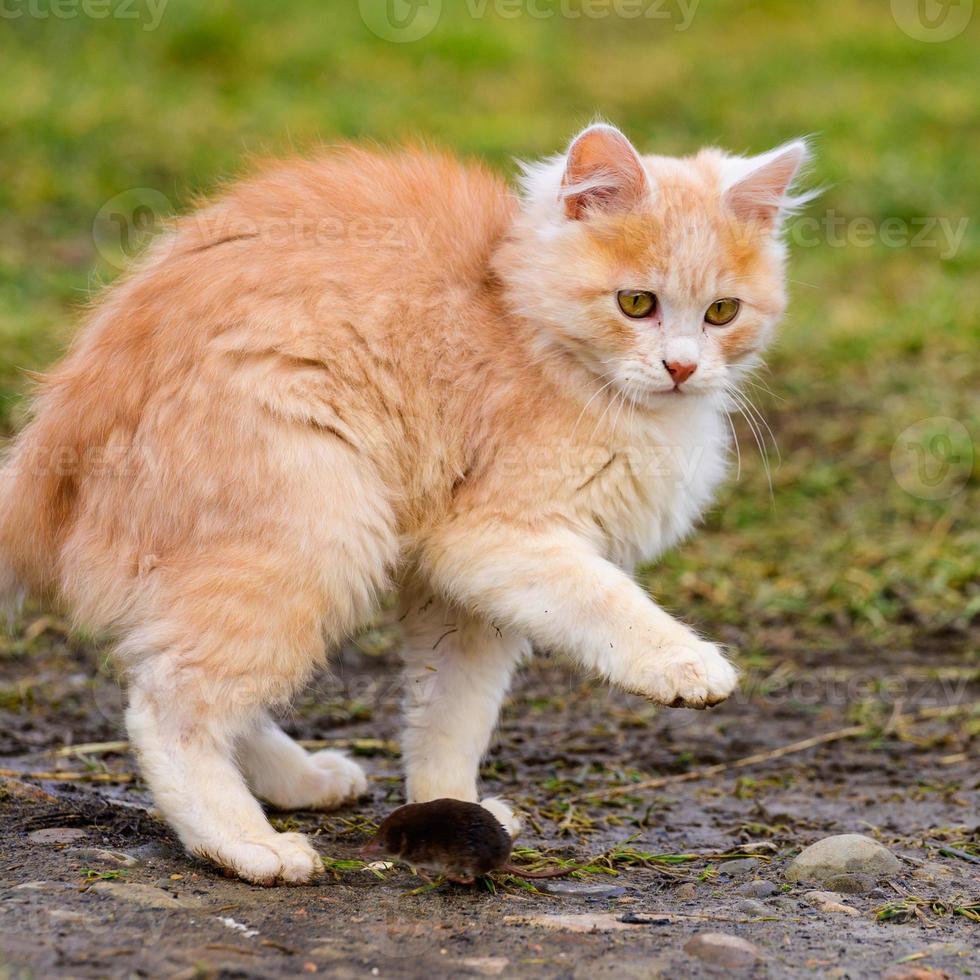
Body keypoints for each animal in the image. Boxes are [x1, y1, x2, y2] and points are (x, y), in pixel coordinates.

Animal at [3, 122, 808, 880]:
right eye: (636, 303)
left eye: (722, 312)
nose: (681, 367)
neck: (519, 321)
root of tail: (49, 451)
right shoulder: (491, 539)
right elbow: (605, 600)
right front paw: (685, 663)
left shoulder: (466, 597)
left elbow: (454, 714)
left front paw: (447, 803)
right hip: (320, 524)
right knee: (168, 701)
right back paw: (244, 844)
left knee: (181, 672)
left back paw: (298, 780)